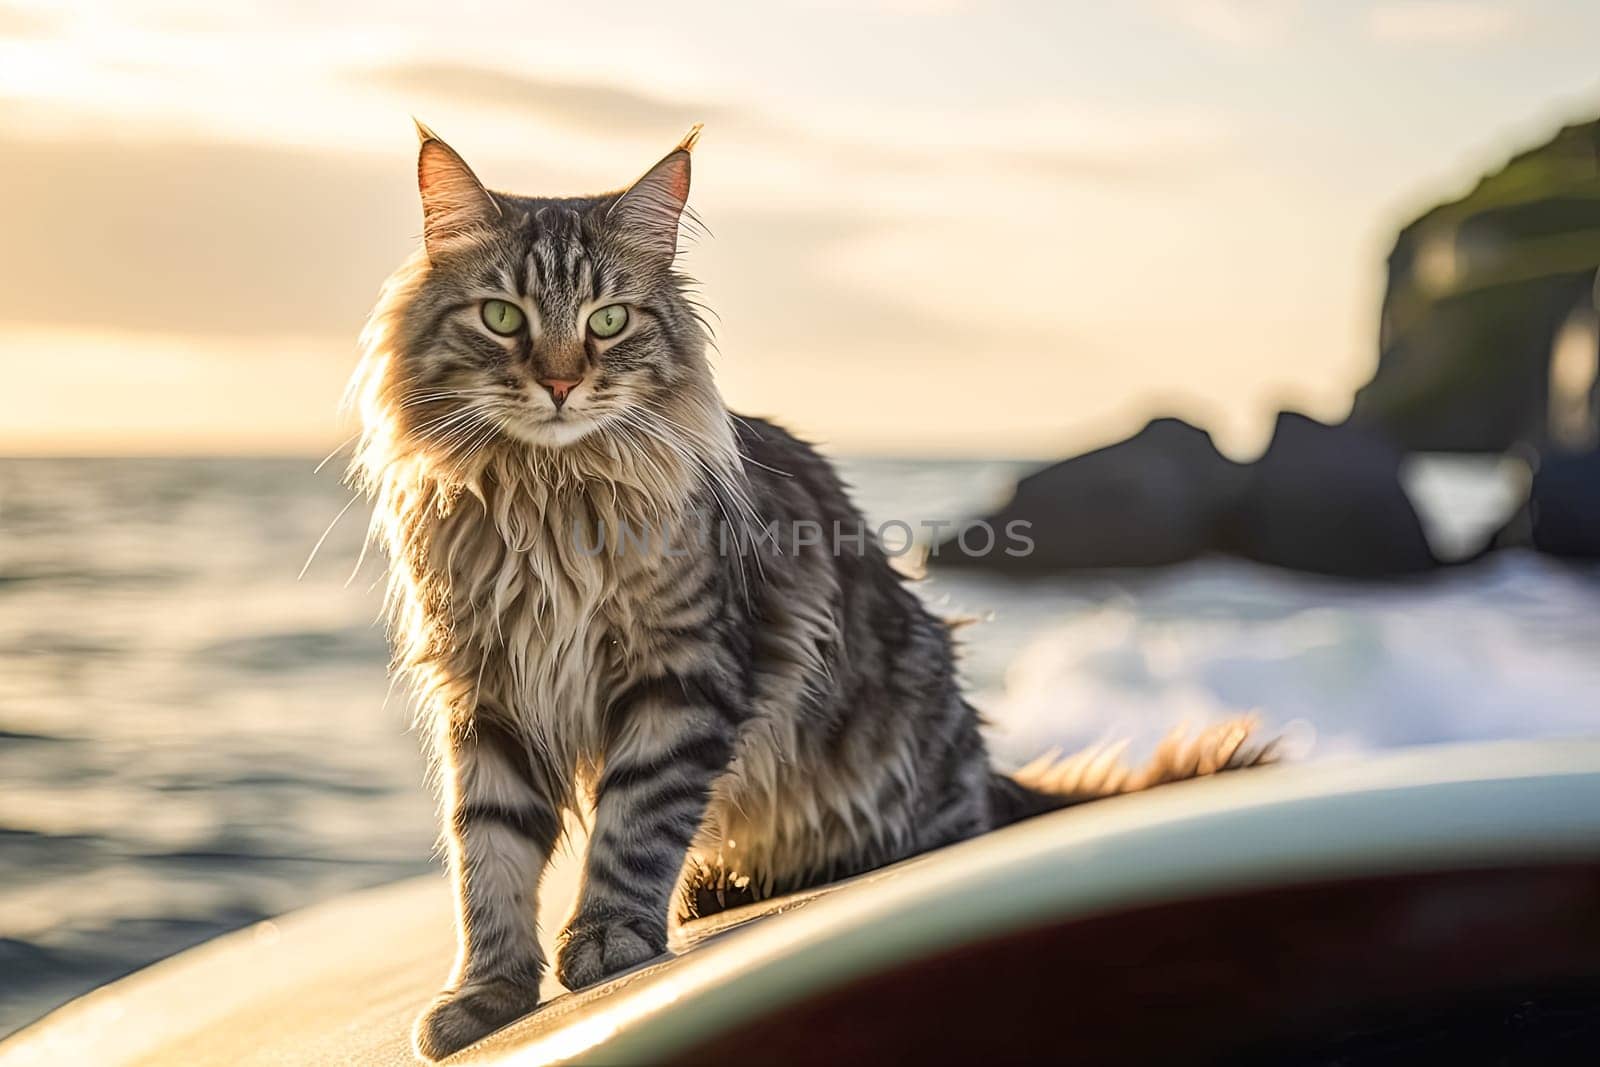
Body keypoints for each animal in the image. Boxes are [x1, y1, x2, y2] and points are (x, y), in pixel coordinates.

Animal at [350, 125, 1273, 1062]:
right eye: (503, 317)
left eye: (609, 321)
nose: (563, 383)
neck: (546, 494)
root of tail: (987, 770)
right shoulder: (487, 692)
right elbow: (488, 856)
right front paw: (486, 994)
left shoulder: (685, 672)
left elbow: (635, 821)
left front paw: (608, 937)